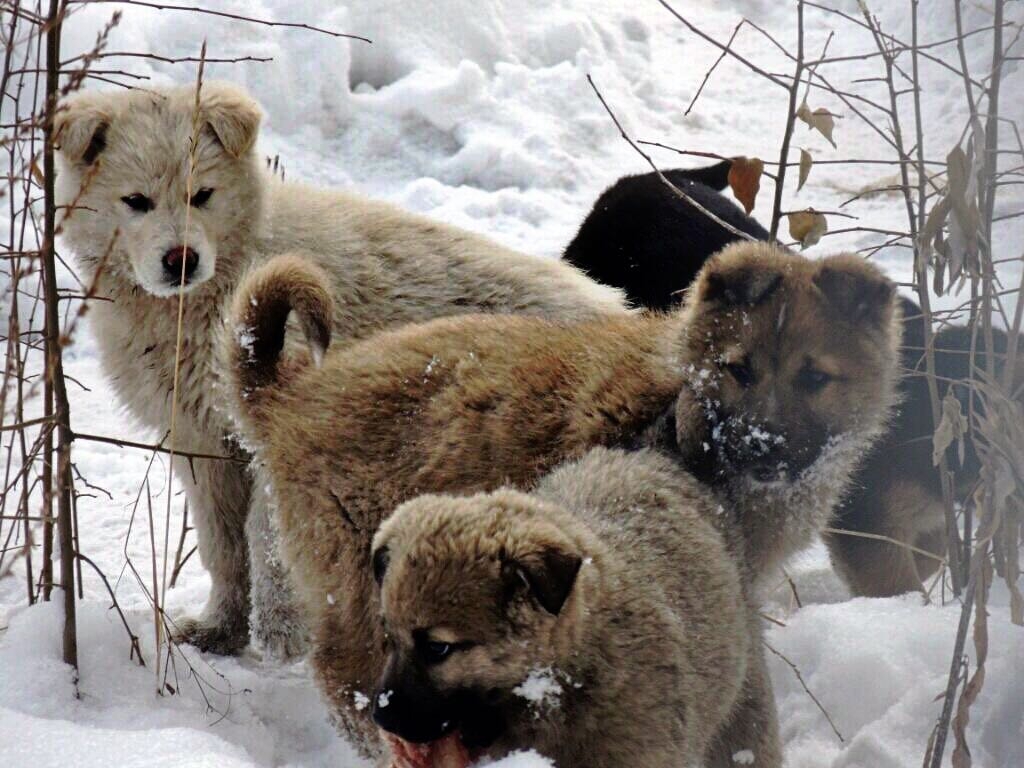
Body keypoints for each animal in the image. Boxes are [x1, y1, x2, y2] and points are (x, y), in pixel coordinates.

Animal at [58, 83, 630, 659]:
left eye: (203, 195)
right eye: (136, 201)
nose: (182, 260)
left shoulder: (277, 440)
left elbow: (266, 546)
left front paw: (279, 644)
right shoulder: (202, 441)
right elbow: (223, 546)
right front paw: (219, 630)